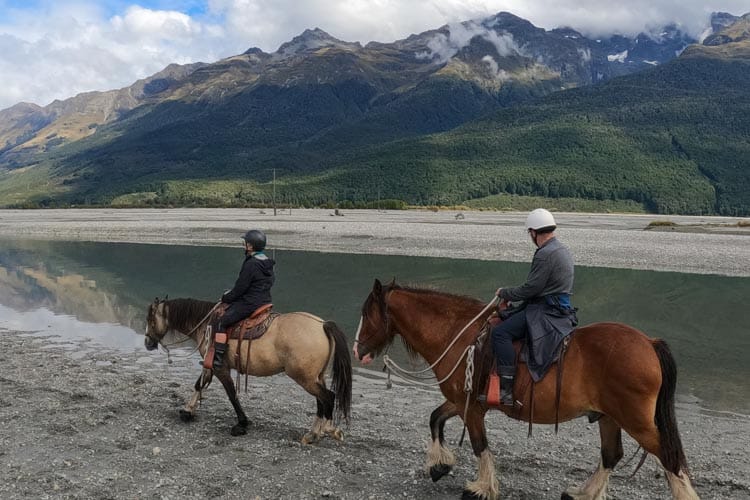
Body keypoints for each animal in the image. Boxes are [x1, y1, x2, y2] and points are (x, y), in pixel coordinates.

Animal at [145, 297, 352, 444]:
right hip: (315, 377)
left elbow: (231, 394)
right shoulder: (209, 366)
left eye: (151, 320)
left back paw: (324, 430)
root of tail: (322, 324)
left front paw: (242, 423)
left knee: (328, 397)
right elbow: (199, 385)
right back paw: (314, 432)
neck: (207, 324)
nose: (147, 343)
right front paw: (187, 410)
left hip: (305, 378)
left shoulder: (220, 368)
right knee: (321, 400)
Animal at [353, 279, 698, 500]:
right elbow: (435, 418)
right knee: (611, 455)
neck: (458, 334)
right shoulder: (461, 401)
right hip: (609, 417)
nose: (357, 350)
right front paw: (439, 465)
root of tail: (649, 343)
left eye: (366, 314)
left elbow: (479, 445)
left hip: (636, 421)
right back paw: (582, 493)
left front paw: (481, 487)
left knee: (668, 456)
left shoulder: (472, 408)